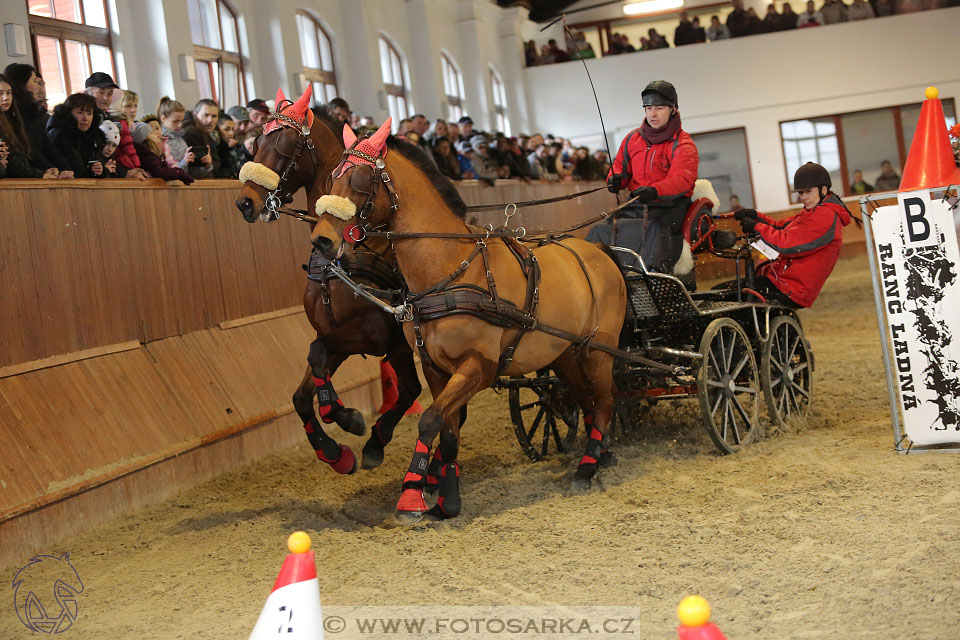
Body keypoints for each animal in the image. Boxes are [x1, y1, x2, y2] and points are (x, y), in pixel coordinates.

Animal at [232, 86, 420, 476]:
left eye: (285, 144)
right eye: (256, 141)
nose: (246, 203)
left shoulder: (371, 333)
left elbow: (316, 355)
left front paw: (345, 416)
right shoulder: (332, 333)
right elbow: (303, 390)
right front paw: (333, 451)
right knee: (410, 389)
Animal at [314, 120, 632, 520]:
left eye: (358, 179)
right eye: (332, 177)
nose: (321, 240)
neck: (450, 268)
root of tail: (599, 251)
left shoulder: (479, 367)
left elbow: (429, 419)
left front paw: (411, 497)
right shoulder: (436, 368)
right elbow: (448, 431)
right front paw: (447, 498)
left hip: (599, 350)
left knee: (605, 401)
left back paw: (586, 469)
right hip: (563, 354)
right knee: (587, 401)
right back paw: (601, 453)